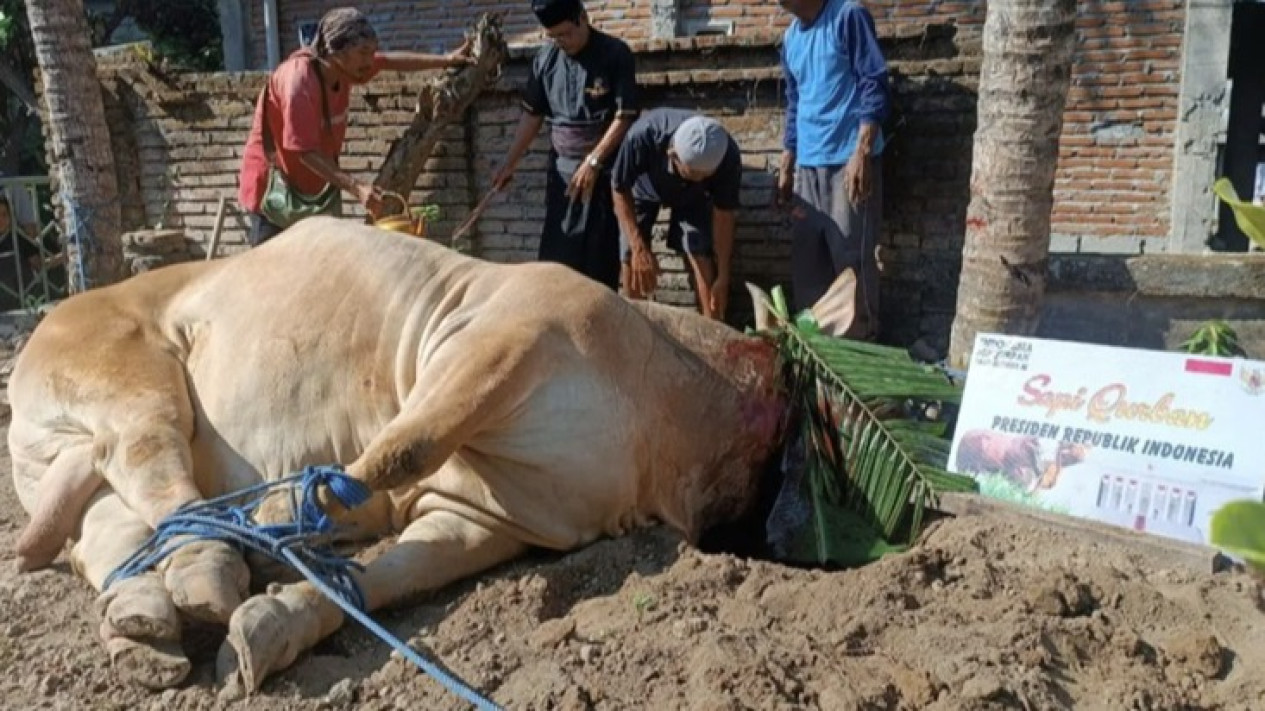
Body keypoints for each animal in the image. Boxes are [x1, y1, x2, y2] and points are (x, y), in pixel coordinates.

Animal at [4, 217, 845, 693]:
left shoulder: (486, 516)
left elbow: (383, 578)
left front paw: (266, 631)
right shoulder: (506, 337)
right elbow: (394, 453)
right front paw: (289, 519)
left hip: (79, 469)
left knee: (120, 528)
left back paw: (143, 624)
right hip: (133, 378)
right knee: (157, 468)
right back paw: (215, 566)